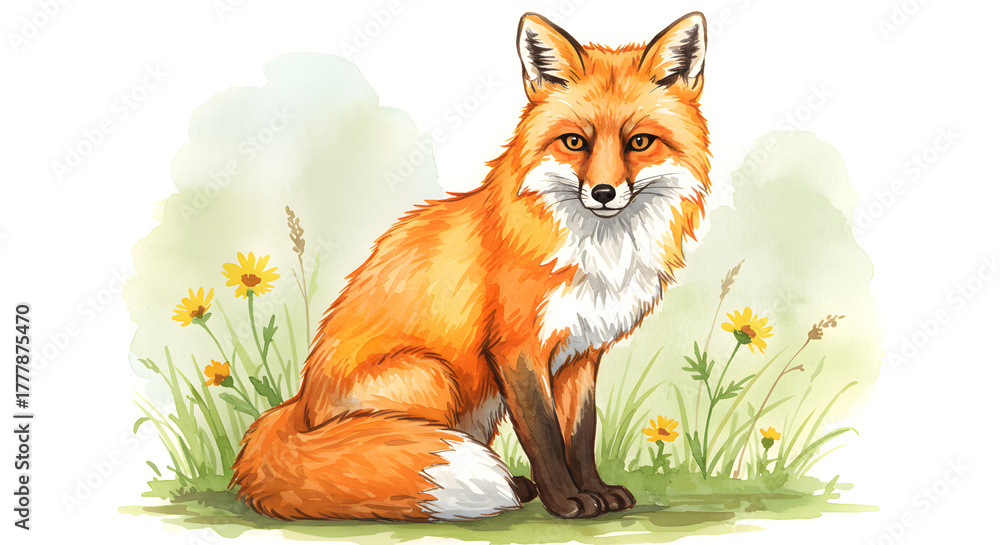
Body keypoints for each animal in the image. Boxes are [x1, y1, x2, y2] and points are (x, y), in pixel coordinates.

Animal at [231, 11, 710, 521]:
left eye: (639, 142)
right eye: (574, 142)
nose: (603, 193)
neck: (603, 254)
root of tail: (299, 406)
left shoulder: (580, 353)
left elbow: (580, 436)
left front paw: (597, 491)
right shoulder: (516, 348)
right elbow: (544, 435)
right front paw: (567, 501)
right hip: (434, 377)